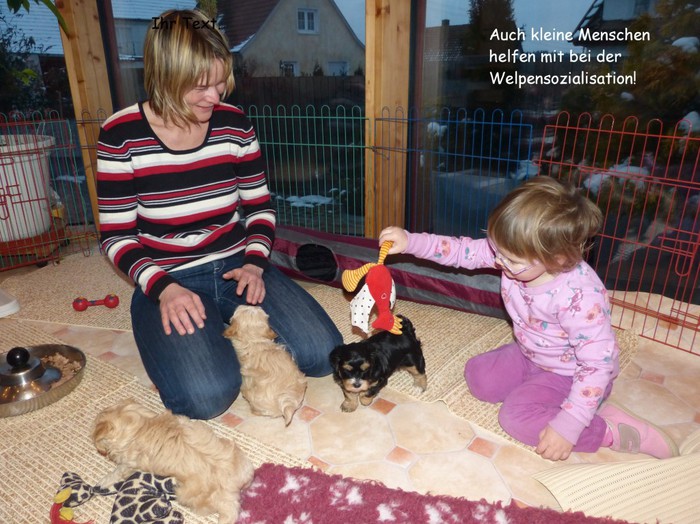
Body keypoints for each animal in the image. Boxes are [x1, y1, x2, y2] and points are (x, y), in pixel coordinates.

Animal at [93, 399, 254, 524]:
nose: (100, 450)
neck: (142, 425)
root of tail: (234, 483)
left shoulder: (129, 463)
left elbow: (117, 471)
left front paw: (102, 482)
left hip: (191, 496)